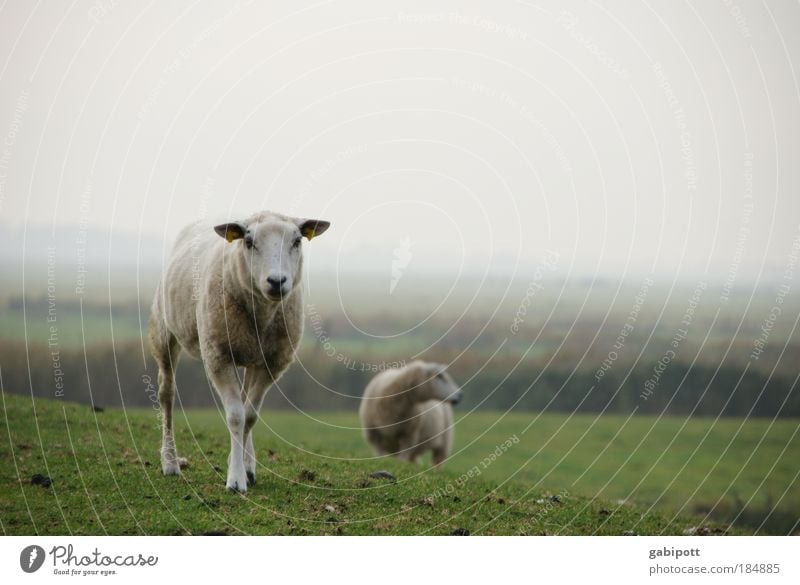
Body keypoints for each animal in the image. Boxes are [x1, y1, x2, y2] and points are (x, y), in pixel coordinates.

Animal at [150, 208, 332, 490]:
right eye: (248, 241)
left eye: (297, 241)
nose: (276, 281)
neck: (261, 314)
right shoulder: (218, 356)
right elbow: (236, 416)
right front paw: (235, 480)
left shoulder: (271, 363)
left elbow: (250, 415)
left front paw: (242, 468)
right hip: (164, 332)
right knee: (166, 393)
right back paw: (169, 462)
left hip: (250, 355)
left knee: (246, 403)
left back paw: (247, 463)